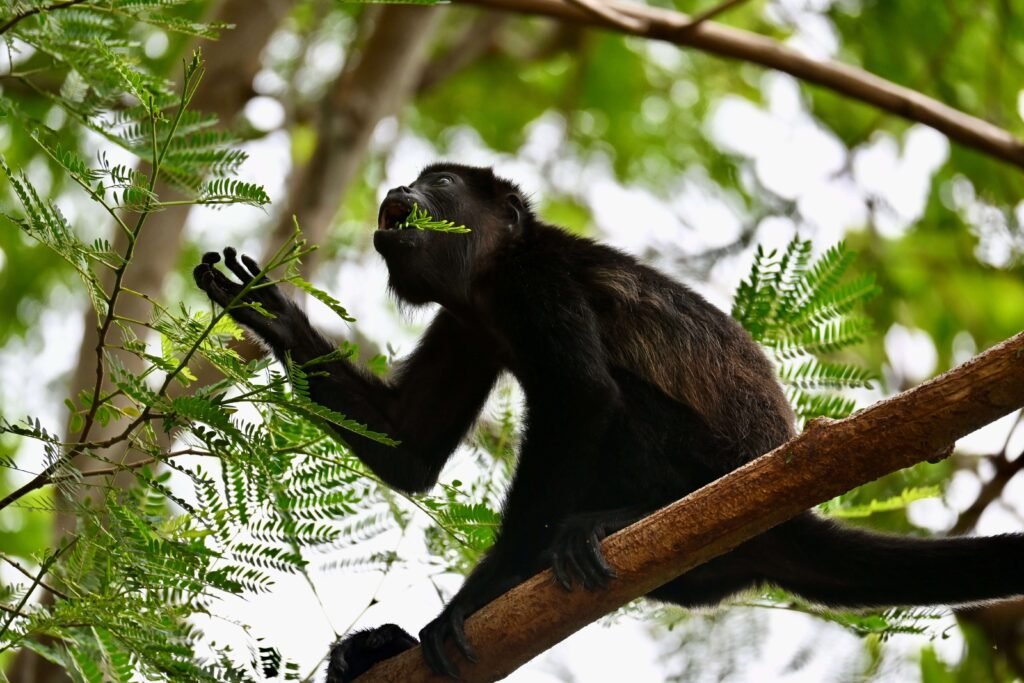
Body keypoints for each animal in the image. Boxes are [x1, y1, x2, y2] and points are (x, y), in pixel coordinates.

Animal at [193, 164, 1024, 682]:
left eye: (442, 183)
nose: (401, 187)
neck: (488, 283)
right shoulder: (468, 322)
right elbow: (412, 448)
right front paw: (265, 309)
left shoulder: (536, 282)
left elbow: (584, 398)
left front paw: (468, 602)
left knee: (620, 403)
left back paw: (619, 521)